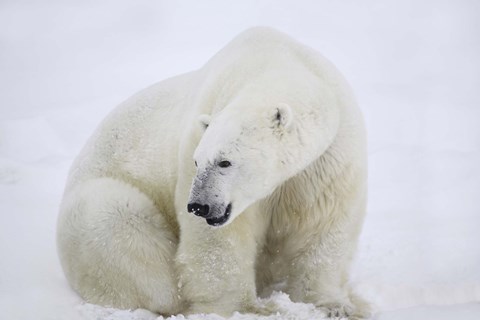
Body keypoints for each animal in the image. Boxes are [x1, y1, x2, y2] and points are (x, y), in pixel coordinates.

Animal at [57, 26, 372, 318]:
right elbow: (220, 242)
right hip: (97, 206)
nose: (199, 206)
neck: (276, 61)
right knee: (124, 234)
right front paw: (249, 309)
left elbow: (323, 223)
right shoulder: (202, 131)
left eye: (225, 162)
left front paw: (335, 306)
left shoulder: (327, 158)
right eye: (198, 161)